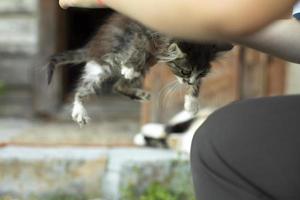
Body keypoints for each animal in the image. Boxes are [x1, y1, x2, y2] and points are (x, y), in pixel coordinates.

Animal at [47, 12, 234, 126]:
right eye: (185, 71)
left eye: (201, 74)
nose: (189, 81)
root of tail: (93, 47)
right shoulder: (142, 28)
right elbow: (139, 44)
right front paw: (130, 65)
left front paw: (192, 101)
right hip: (105, 62)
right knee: (83, 88)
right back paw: (80, 110)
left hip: (144, 66)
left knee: (118, 86)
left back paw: (139, 93)